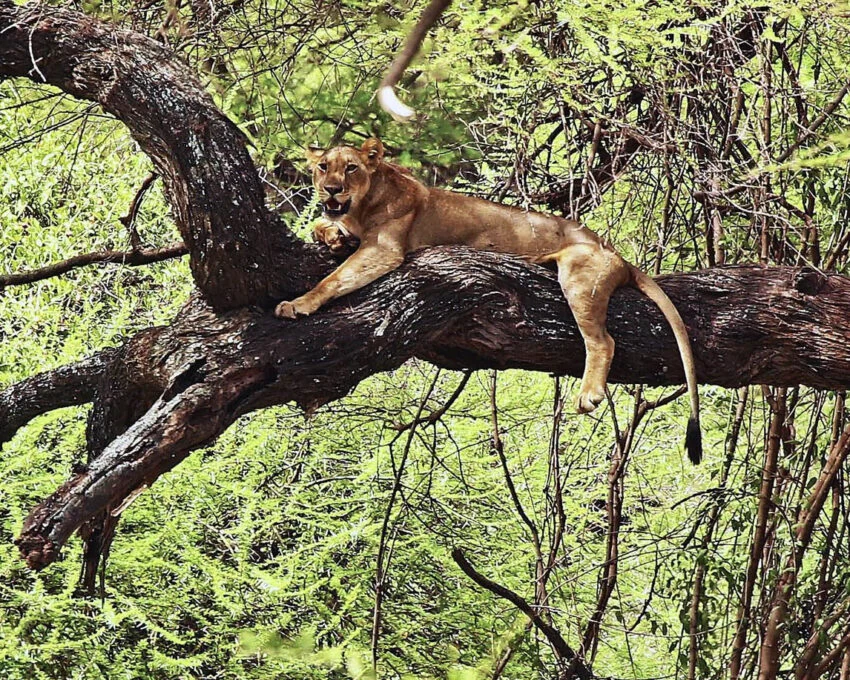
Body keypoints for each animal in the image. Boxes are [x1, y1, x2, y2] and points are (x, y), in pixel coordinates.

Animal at [276, 138, 702, 463]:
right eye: (322, 168)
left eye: (350, 169)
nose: (331, 189)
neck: (362, 205)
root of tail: (615, 252)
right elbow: (320, 225)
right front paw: (331, 235)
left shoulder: (384, 251)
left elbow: (333, 279)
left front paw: (298, 303)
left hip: (579, 276)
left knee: (602, 340)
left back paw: (588, 394)